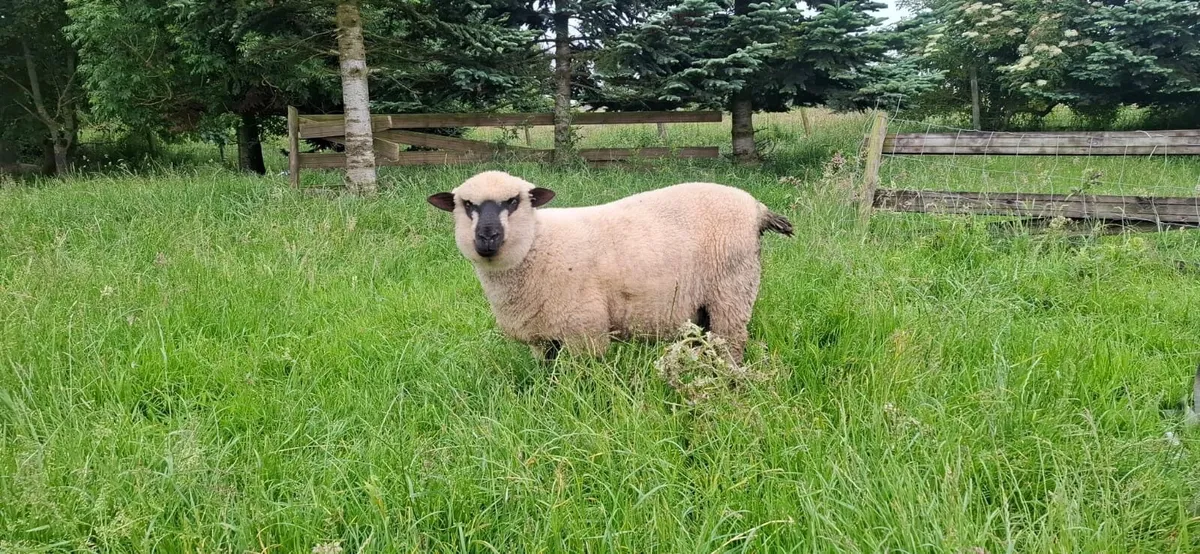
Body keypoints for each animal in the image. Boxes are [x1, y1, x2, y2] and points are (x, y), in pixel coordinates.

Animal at [427, 170, 793, 364]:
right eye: (467, 205)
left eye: (513, 202)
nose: (487, 236)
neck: (538, 244)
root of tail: (756, 207)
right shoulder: (541, 340)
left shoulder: (584, 330)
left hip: (732, 289)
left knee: (732, 342)